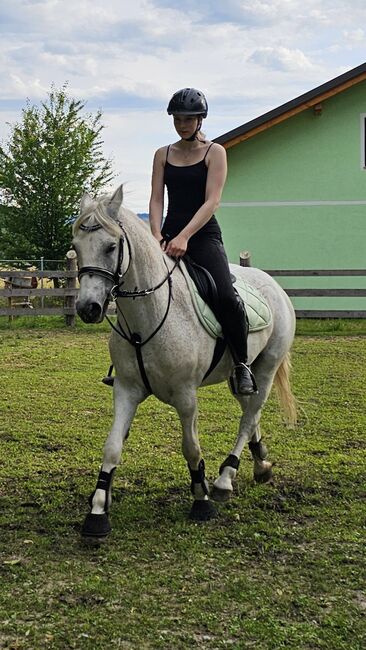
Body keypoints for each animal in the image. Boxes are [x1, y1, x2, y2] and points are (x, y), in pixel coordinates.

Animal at [72, 185, 298, 540]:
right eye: (76, 247)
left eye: (110, 246)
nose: (88, 308)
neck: (147, 319)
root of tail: (272, 283)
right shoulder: (126, 390)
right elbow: (112, 447)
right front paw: (97, 512)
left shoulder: (186, 396)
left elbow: (191, 447)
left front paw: (201, 500)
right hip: (241, 374)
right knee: (250, 410)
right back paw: (261, 464)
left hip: (267, 366)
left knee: (250, 415)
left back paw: (225, 478)